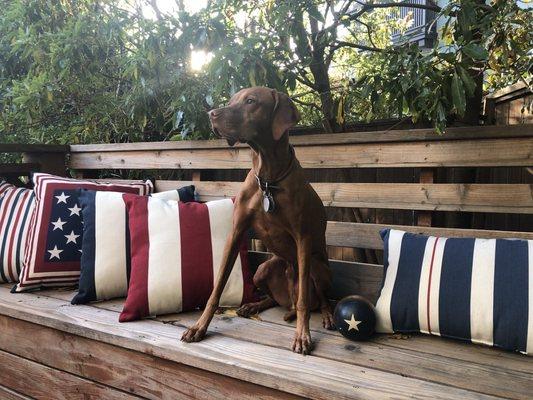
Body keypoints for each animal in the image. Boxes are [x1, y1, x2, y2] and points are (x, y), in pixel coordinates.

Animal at [182, 86, 332, 354]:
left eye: (251, 101)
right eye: (232, 100)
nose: (211, 114)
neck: (268, 180)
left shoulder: (303, 238)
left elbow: (304, 299)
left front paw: (302, 336)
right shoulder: (236, 232)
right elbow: (217, 287)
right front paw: (199, 326)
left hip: (317, 268)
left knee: (316, 299)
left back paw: (326, 315)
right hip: (263, 269)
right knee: (273, 298)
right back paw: (253, 305)